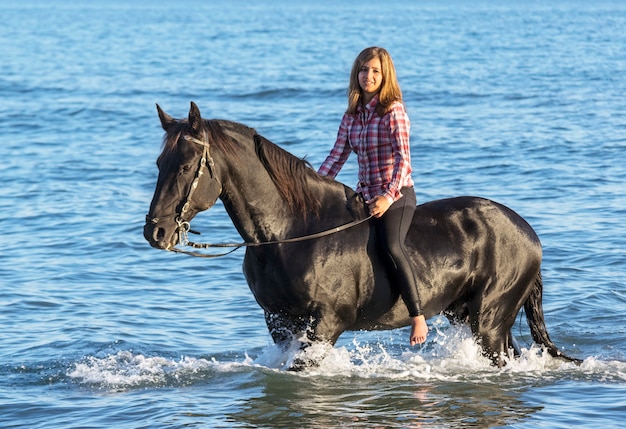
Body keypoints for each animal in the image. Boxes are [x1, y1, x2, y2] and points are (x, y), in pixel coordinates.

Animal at [144, 102, 576, 366]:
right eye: (160, 162)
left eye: (186, 166)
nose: (156, 232)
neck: (290, 235)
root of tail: (528, 232)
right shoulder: (279, 323)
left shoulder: (326, 324)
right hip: (470, 315)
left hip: (489, 320)